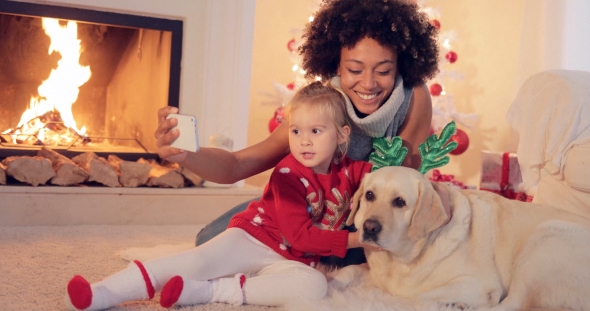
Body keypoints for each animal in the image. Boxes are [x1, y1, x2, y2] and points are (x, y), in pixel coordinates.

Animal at [336, 168, 590, 311]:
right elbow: (351, 270)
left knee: (511, 305)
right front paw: (335, 282)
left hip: (544, 237)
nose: (369, 227)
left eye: (400, 202)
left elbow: (415, 294)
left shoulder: (478, 282)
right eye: (370, 195)